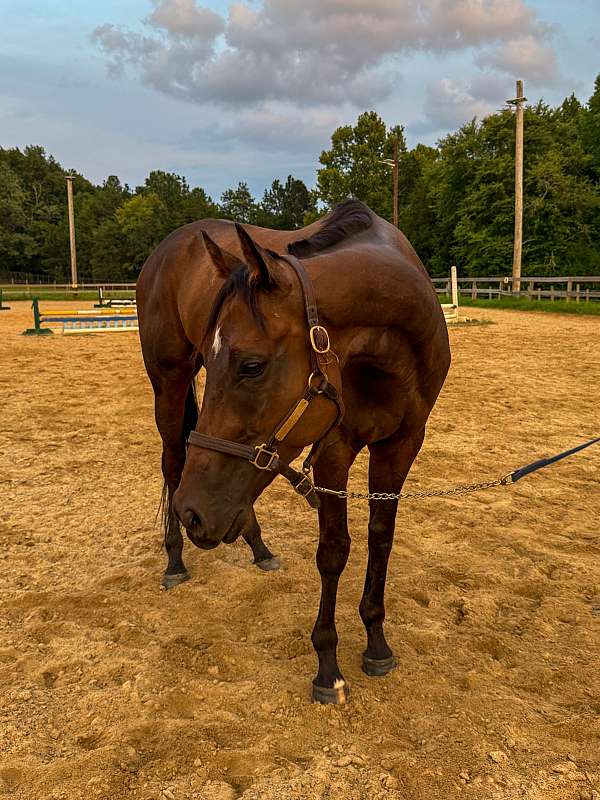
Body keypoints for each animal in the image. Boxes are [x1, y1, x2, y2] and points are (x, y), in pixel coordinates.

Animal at [137, 199, 450, 703]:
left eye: (251, 366)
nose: (193, 514)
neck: (388, 354)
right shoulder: (334, 449)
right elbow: (334, 550)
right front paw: (328, 667)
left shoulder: (402, 445)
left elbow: (380, 538)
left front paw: (377, 643)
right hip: (169, 381)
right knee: (172, 461)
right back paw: (174, 559)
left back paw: (258, 546)